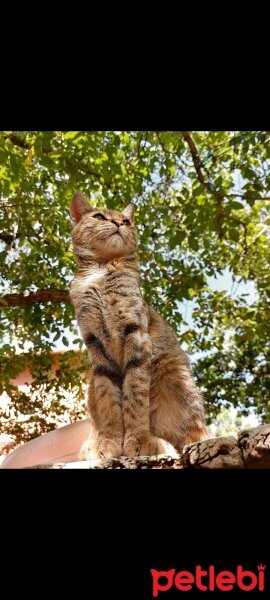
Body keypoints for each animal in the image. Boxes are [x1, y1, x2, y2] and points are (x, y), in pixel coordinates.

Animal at [70, 192, 209, 460]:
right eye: (99, 217)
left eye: (126, 221)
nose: (118, 223)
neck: (101, 271)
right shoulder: (94, 345)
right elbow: (108, 400)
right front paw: (110, 441)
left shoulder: (136, 334)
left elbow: (135, 395)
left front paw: (139, 439)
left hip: (176, 377)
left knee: (190, 437)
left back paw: (160, 442)